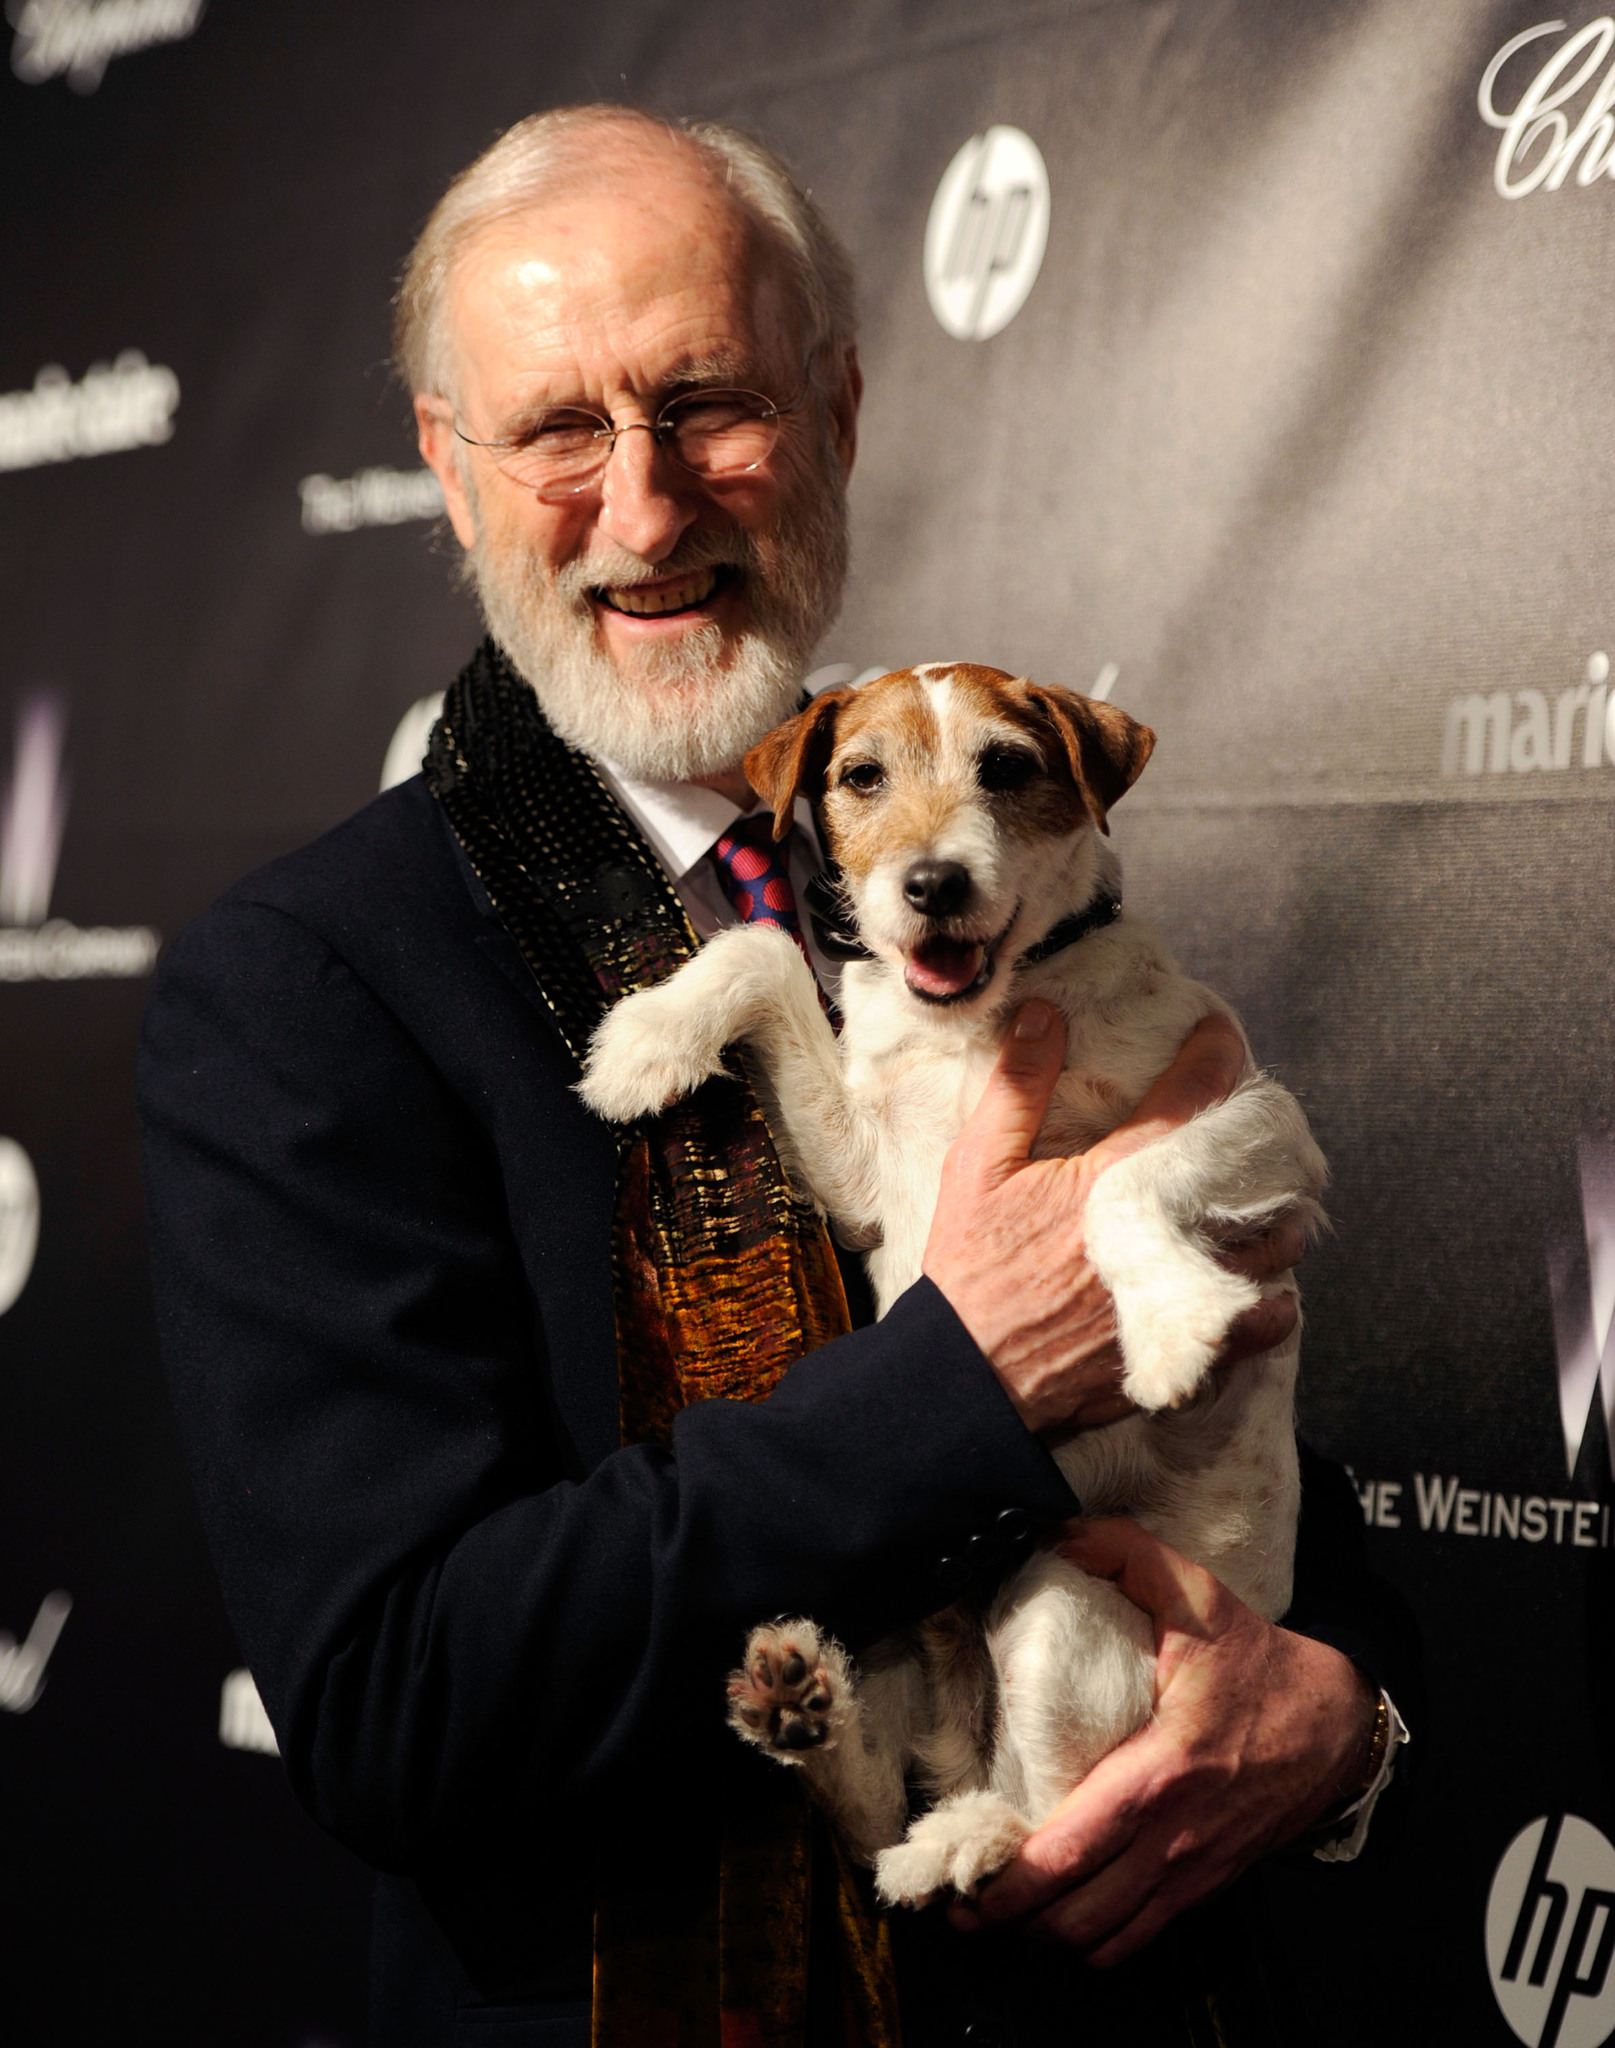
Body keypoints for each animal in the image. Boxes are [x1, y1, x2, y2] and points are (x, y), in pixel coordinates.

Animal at [581, 663, 1326, 1908]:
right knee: (879, 1808)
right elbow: (760, 957)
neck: (984, 1018)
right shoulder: (860, 1179)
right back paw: (803, 1706)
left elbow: (1119, 1177)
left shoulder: (1265, 1128)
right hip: (891, 1622)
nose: (932, 883)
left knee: (1054, 1822)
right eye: (860, 774)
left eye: (1008, 766)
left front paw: (1173, 1327)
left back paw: (966, 1836)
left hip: (1057, 1598)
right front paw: (644, 1036)